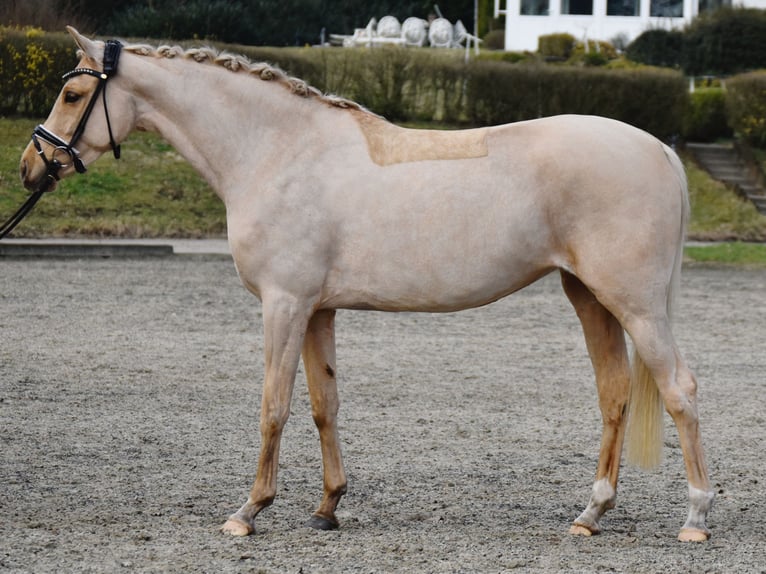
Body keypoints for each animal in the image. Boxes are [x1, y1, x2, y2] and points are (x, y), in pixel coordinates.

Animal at [19, 29, 712, 544]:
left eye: (74, 93)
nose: (30, 167)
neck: (279, 151)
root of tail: (659, 149)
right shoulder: (317, 311)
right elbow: (324, 404)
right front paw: (327, 507)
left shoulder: (285, 305)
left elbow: (274, 405)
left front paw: (248, 512)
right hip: (590, 298)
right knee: (615, 394)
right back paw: (590, 515)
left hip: (636, 305)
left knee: (679, 390)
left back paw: (696, 517)